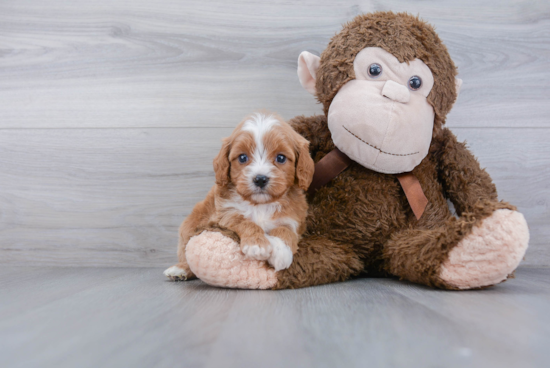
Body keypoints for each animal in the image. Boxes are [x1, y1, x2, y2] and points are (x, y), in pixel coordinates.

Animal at [164, 110, 314, 280]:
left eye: (281, 158)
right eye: (242, 157)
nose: (260, 179)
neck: (260, 204)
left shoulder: (293, 219)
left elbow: (286, 230)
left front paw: (281, 252)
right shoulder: (224, 215)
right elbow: (244, 221)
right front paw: (257, 244)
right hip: (189, 226)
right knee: (186, 252)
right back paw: (179, 269)